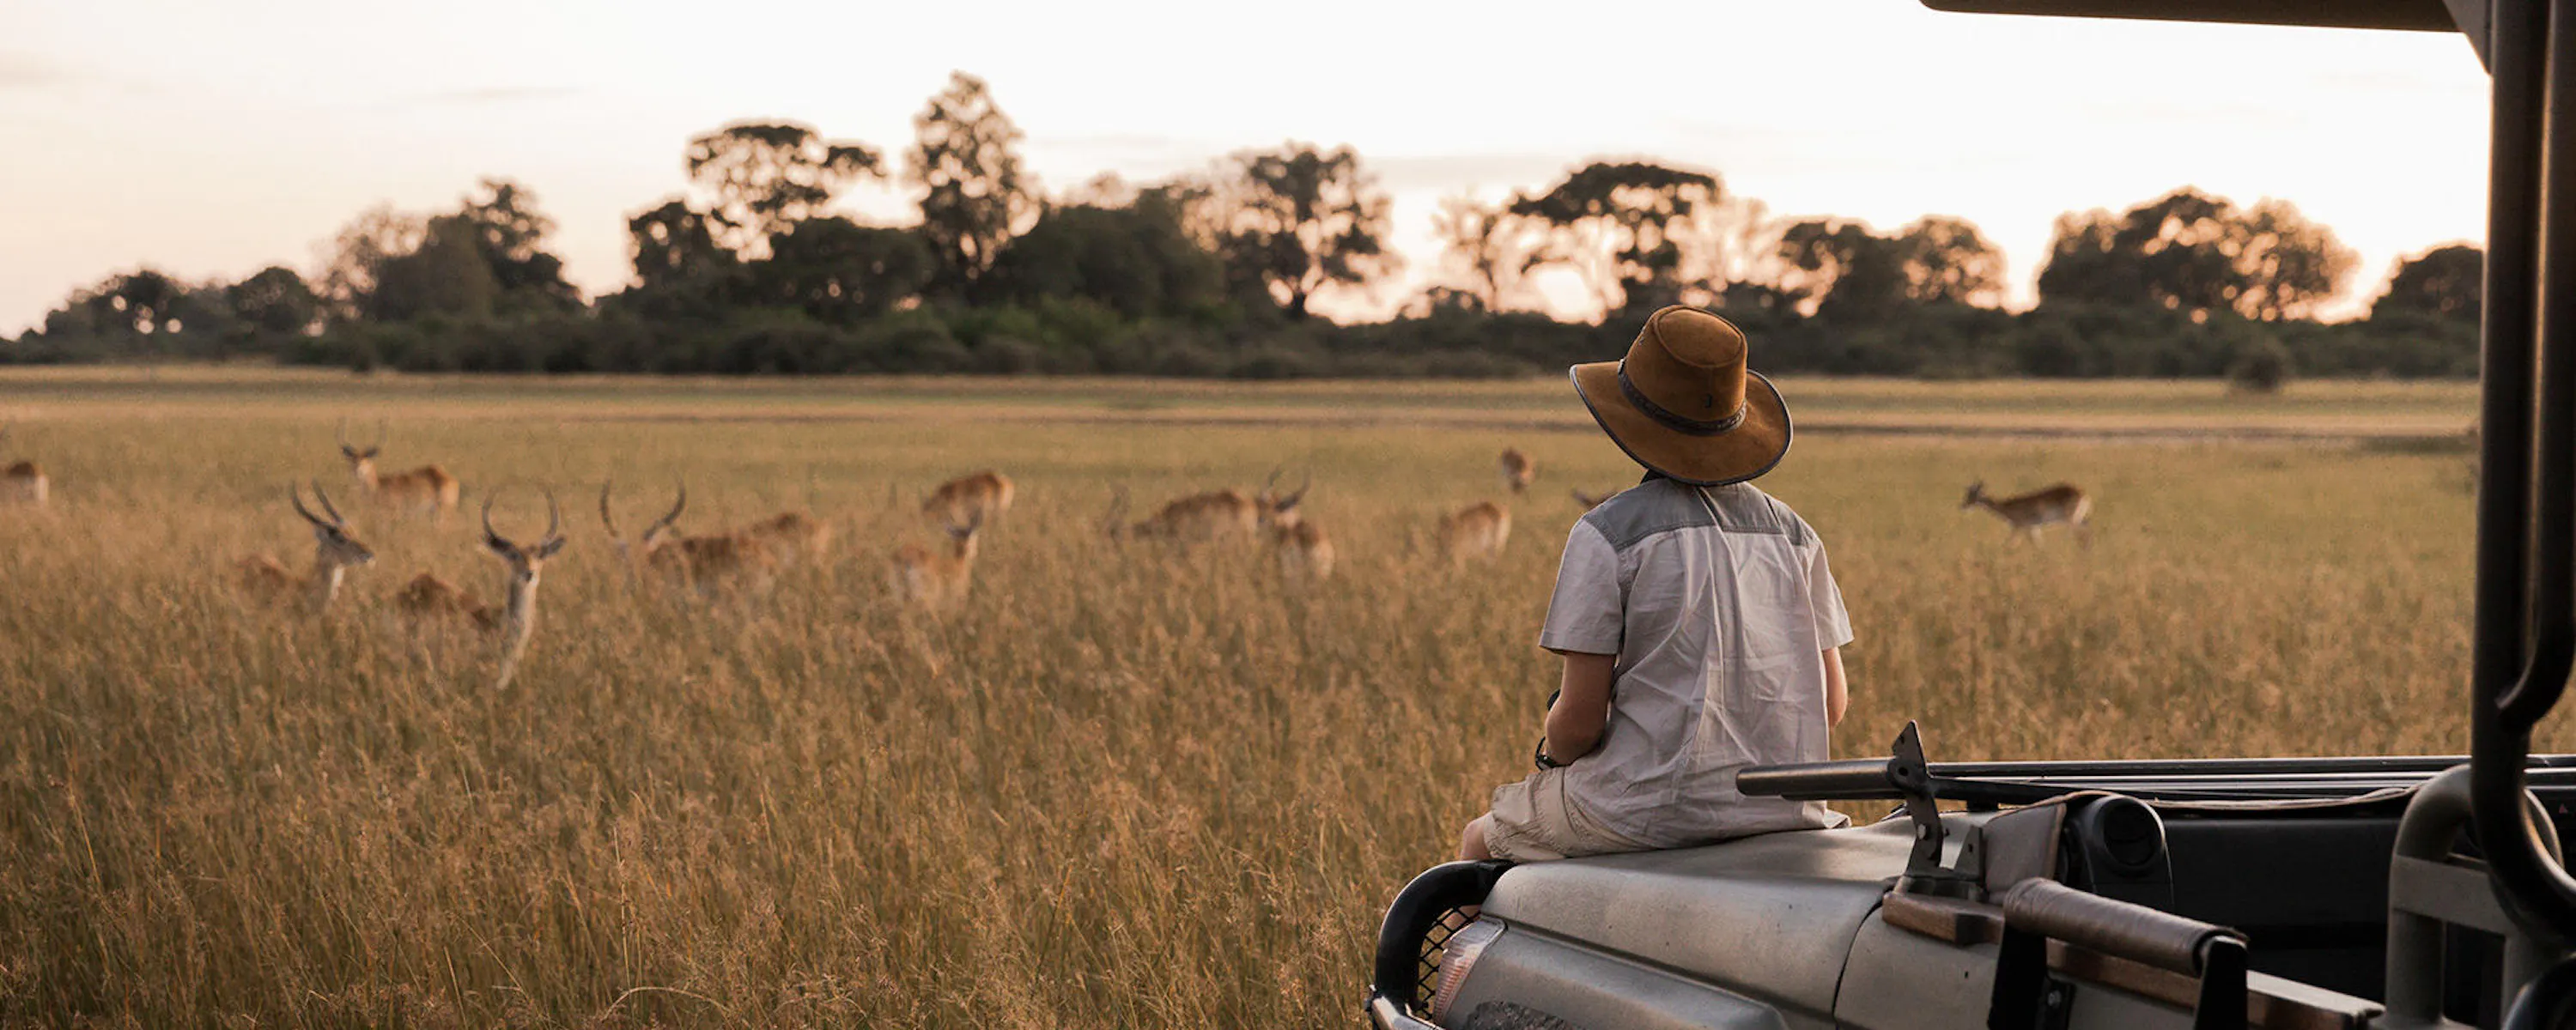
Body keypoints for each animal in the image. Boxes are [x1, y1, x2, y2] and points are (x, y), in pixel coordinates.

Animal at [1962, 481, 2093, 545]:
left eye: (1972, 496)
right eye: (1967, 494)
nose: (1963, 506)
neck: (2008, 507)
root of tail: (2084, 494)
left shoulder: (2020, 527)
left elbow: (2009, 544)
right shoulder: (2034, 528)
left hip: (2071, 520)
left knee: (2081, 535)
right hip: (2079, 519)